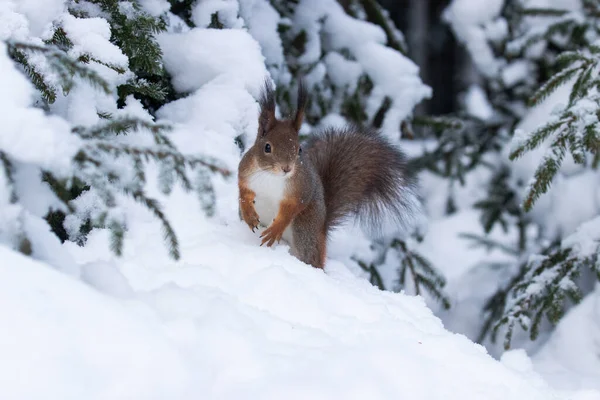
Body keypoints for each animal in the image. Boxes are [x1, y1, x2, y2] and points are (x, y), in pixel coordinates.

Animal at [237, 79, 414, 268]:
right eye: (267, 147)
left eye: (299, 149)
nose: (287, 168)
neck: (272, 177)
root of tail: (322, 227)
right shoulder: (245, 172)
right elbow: (243, 191)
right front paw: (249, 214)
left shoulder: (302, 188)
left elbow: (293, 206)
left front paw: (276, 228)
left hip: (305, 229)